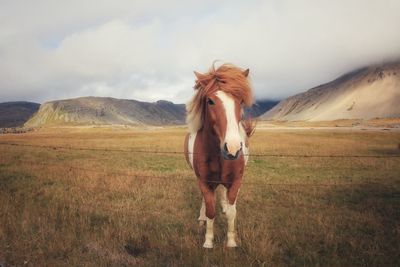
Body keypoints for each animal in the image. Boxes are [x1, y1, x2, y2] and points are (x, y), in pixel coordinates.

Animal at [184, 62, 255, 249]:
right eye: (210, 101)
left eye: (240, 101)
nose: (232, 148)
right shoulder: (204, 181)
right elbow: (210, 211)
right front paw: (208, 241)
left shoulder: (236, 181)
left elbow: (232, 213)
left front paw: (231, 241)